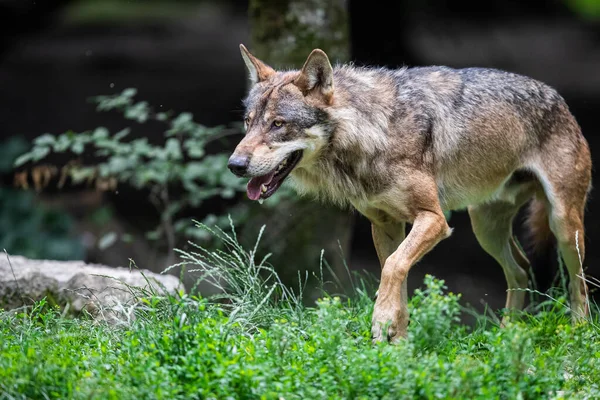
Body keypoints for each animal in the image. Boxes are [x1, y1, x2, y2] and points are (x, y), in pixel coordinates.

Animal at [229, 44, 592, 344]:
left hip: (563, 225)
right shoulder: (385, 225)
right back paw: (507, 335)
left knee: (579, 283)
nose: (235, 164)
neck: (374, 131)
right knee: (521, 268)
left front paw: (381, 322)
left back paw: (578, 334)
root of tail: (558, 97)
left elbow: (392, 268)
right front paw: (397, 343)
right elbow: (397, 275)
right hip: (484, 228)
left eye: (278, 124)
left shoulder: (434, 219)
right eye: (248, 122)